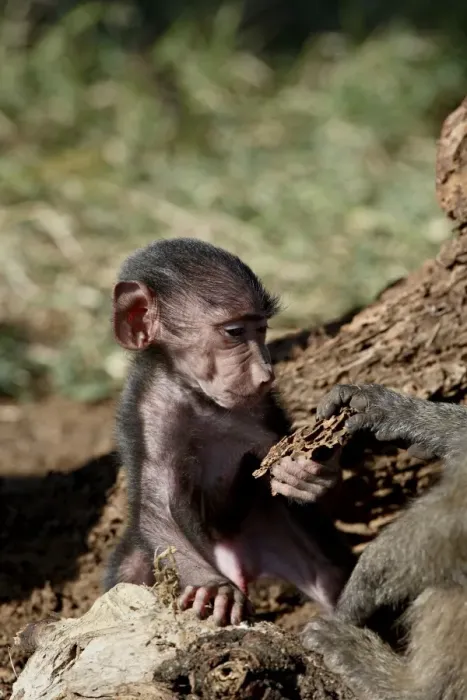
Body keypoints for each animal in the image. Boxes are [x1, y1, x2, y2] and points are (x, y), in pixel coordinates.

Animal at [104, 238, 355, 626]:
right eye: (234, 333)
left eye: (262, 329)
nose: (266, 373)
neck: (197, 396)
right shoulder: (150, 410)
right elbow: (159, 505)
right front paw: (213, 588)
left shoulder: (261, 407)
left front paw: (308, 476)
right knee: (132, 570)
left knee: (328, 577)